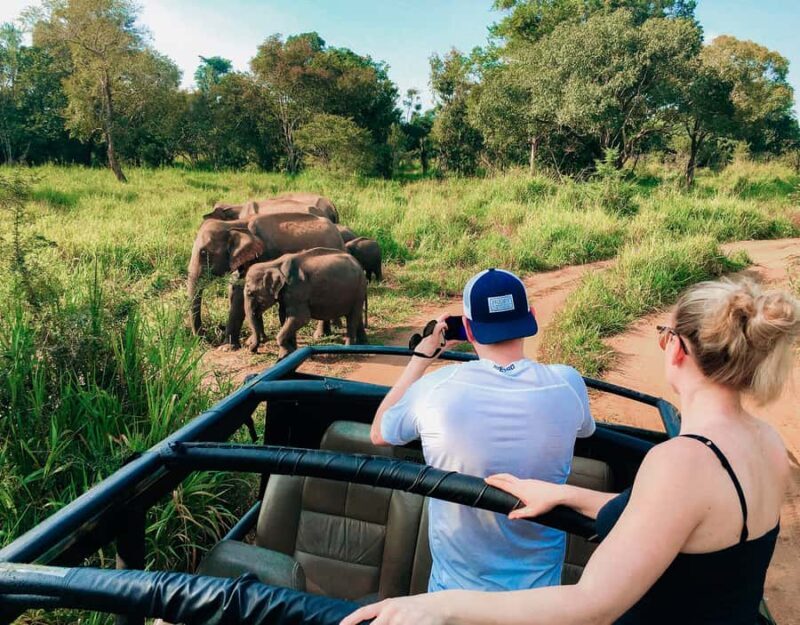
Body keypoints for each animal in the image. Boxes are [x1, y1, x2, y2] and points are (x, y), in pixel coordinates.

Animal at [188, 212, 345, 348]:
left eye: (203, 253)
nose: (205, 339)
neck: (234, 224)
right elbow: (237, 287)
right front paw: (258, 340)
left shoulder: (263, 254)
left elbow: (240, 294)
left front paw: (227, 348)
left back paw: (320, 336)